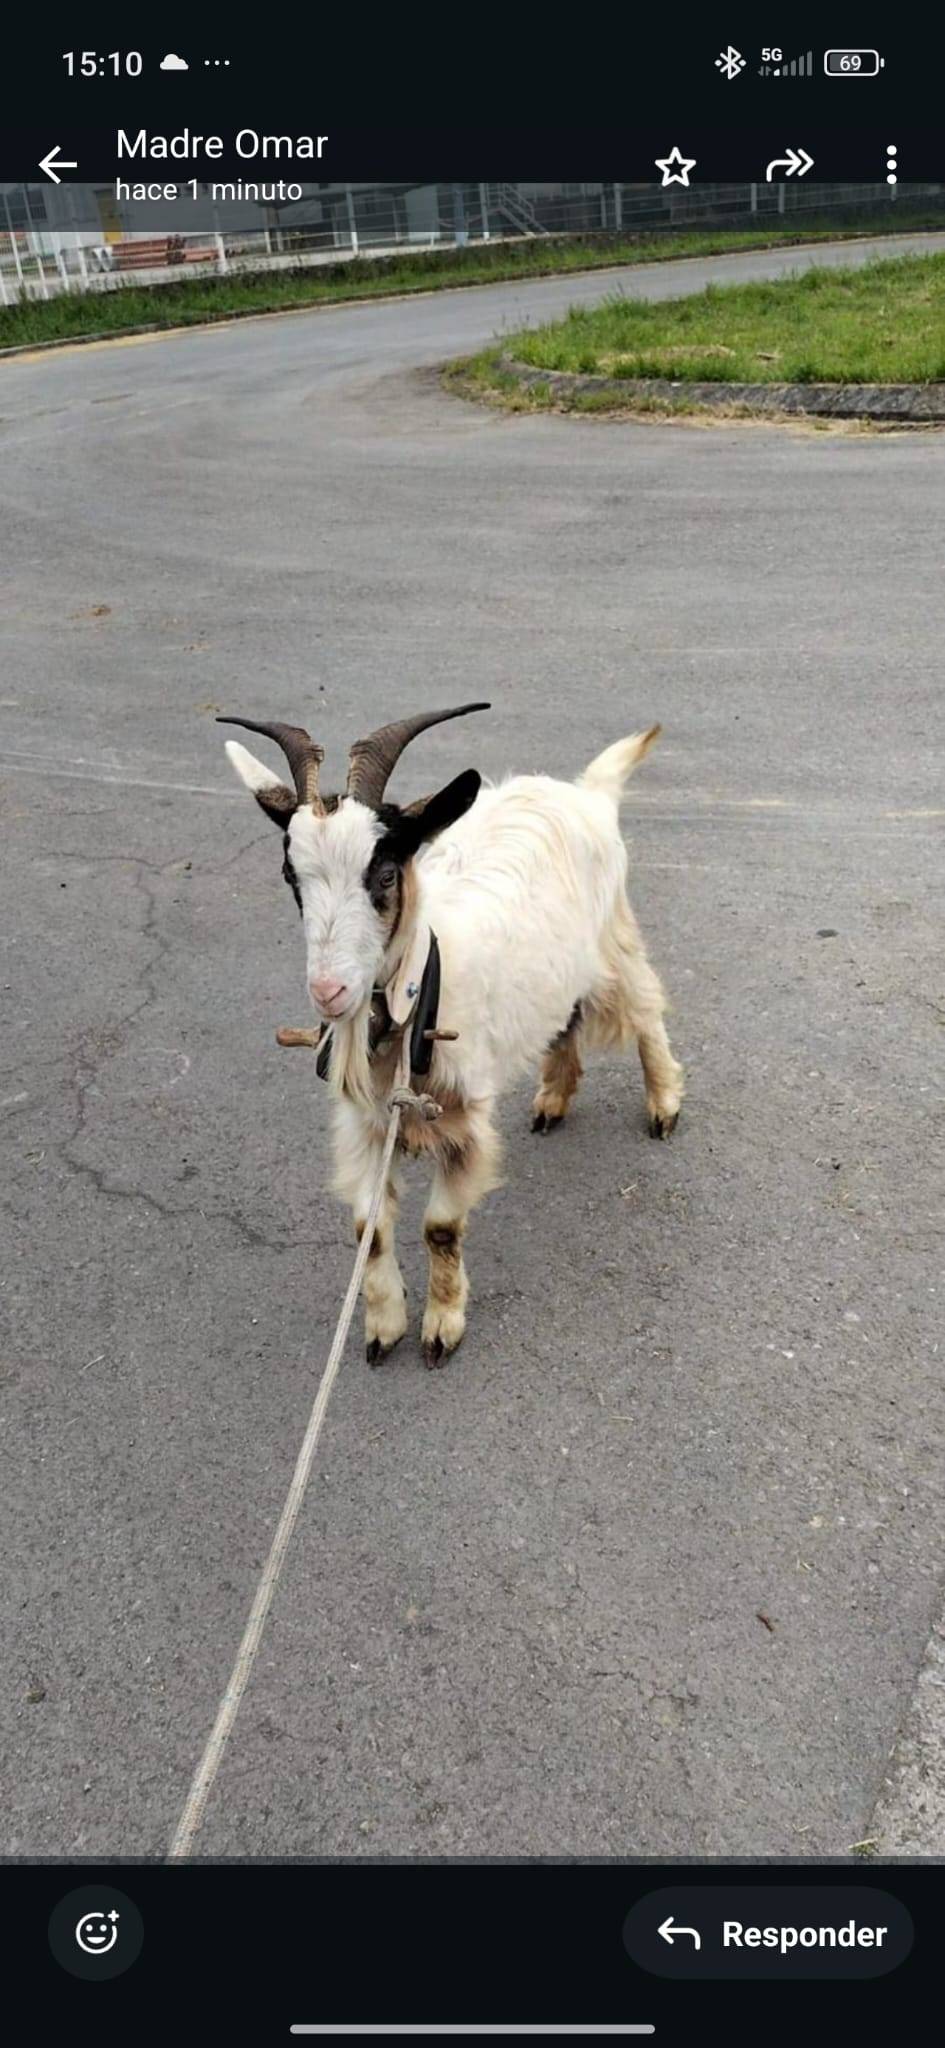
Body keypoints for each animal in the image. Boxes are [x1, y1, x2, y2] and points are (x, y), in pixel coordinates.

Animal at [221, 705, 683, 1367]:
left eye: (386, 873)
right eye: (291, 875)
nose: (329, 991)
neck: (416, 993)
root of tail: (587, 793)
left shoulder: (464, 1120)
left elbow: (439, 1228)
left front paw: (441, 1327)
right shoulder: (366, 1125)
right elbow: (369, 1230)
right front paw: (383, 1327)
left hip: (613, 943)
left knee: (645, 1008)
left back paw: (664, 1103)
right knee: (563, 1018)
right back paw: (553, 1099)